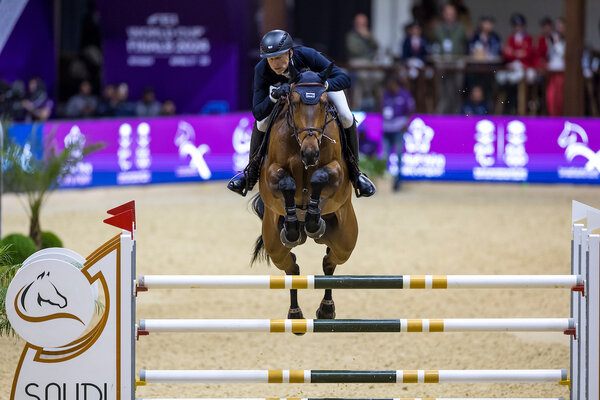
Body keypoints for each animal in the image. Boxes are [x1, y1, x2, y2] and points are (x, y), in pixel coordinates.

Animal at [251, 64, 358, 321]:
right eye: (295, 102)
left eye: (324, 103)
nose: (310, 153)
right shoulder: (270, 173)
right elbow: (287, 184)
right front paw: (294, 222)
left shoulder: (338, 172)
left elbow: (320, 177)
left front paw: (312, 218)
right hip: (274, 244)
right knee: (292, 268)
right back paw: (295, 312)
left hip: (345, 240)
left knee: (329, 262)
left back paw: (326, 309)